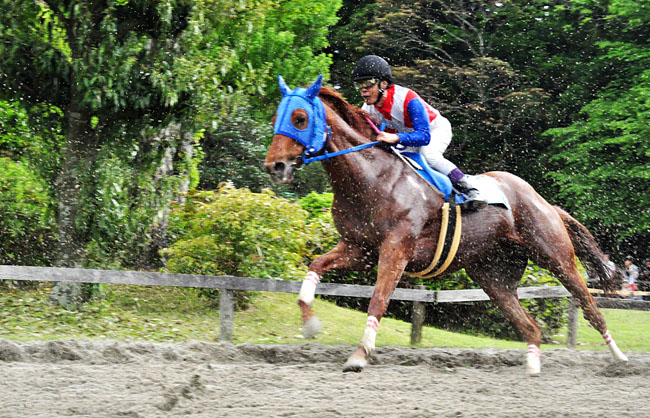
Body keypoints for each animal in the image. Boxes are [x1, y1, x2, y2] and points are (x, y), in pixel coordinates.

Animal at [264, 75, 628, 374]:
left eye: (299, 118)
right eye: (276, 118)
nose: (275, 166)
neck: (371, 176)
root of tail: (542, 200)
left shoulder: (396, 249)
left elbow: (378, 299)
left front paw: (360, 354)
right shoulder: (358, 248)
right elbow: (315, 267)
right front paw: (310, 325)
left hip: (555, 256)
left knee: (590, 306)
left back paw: (620, 358)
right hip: (493, 275)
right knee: (529, 325)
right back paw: (533, 366)